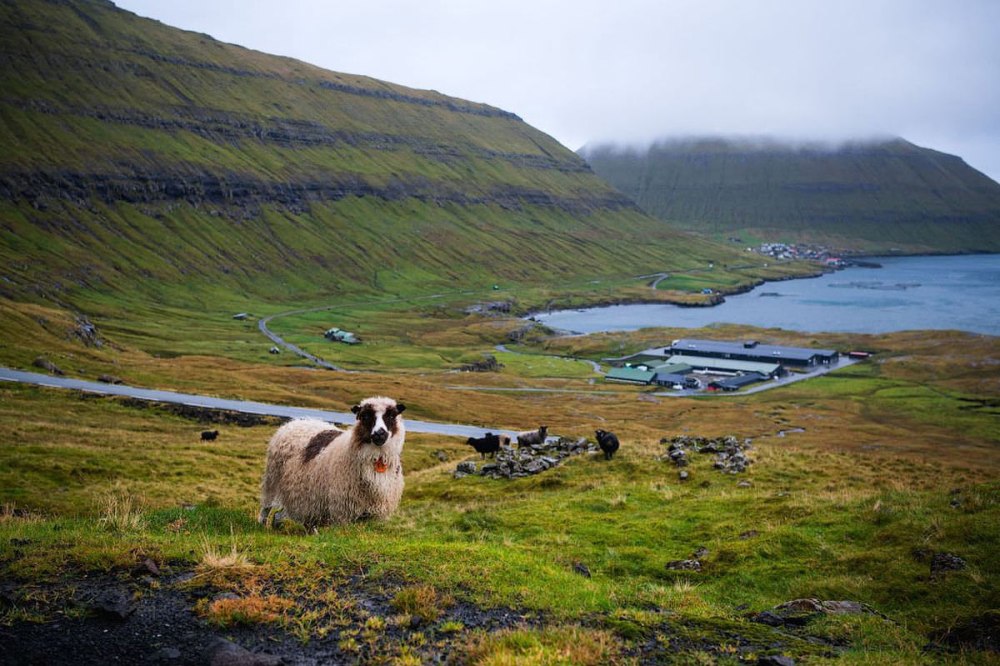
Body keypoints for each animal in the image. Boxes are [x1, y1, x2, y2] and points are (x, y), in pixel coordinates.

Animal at [258, 394, 406, 528]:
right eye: (365, 416)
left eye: (391, 416)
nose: (379, 434)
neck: (377, 459)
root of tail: (296, 422)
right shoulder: (342, 509)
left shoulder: (373, 513)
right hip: (273, 479)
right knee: (267, 506)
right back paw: (262, 524)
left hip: (300, 492)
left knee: (281, 514)